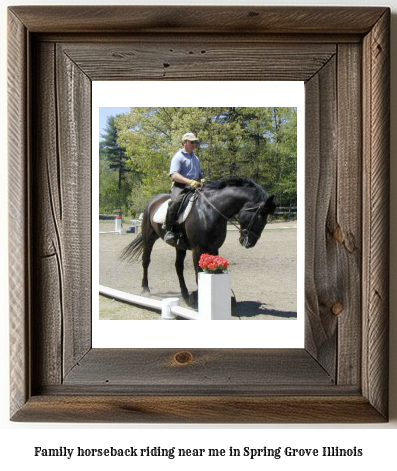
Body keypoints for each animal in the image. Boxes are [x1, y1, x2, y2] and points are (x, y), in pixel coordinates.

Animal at [120, 178, 276, 306]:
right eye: (260, 216)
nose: (249, 243)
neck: (211, 210)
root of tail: (153, 201)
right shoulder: (197, 248)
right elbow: (198, 274)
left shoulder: (214, 248)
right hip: (149, 238)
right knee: (146, 261)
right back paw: (145, 289)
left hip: (180, 246)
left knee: (178, 267)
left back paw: (185, 295)